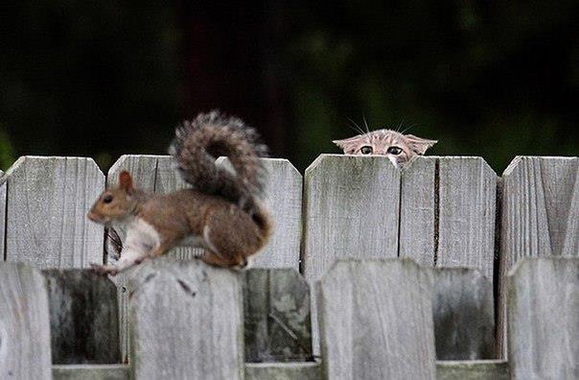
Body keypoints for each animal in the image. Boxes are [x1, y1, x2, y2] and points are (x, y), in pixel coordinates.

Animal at [88, 111, 274, 274]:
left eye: (108, 199)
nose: (90, 216)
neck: (135, 214)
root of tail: (257, 235)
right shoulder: (139, 241)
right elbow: (128, 257)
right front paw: (107, 268)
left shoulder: (168, 224)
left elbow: (167, 242)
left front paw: (150, 256)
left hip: (219, 228)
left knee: (235, 259)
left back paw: (209, 259)